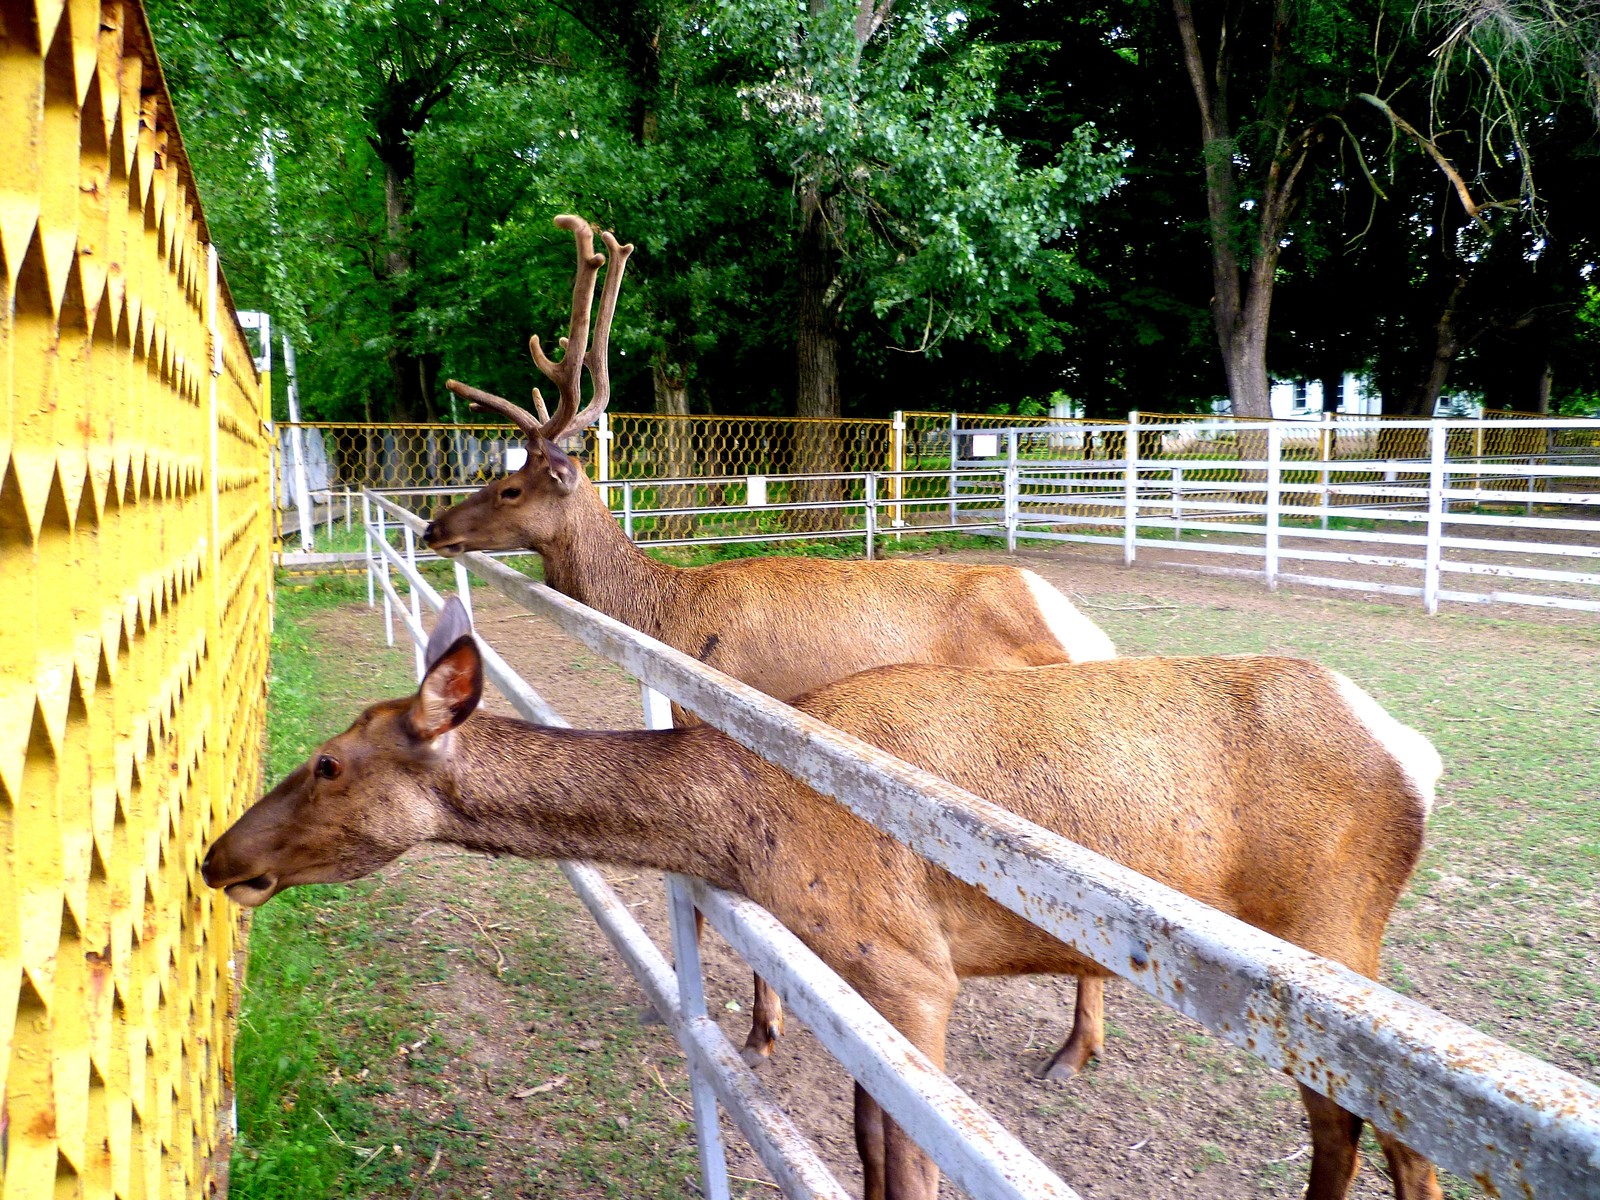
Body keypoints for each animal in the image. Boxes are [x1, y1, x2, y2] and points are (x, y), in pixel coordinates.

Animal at [203, 604, 1452, 1200]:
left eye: (327, 763)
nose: (217, 857)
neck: (758, 827)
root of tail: (1415, 753)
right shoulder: (853, 980)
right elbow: (862, 1151)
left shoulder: (914, 969)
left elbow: (913, 1170)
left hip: (1333, 934)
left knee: (1375, 1134)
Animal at [425, 214, 1126, 1081]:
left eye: (510, 487)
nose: (433, 527)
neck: (671, 614)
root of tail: (1089, 633)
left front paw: (757, 1026)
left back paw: (1074, 1047)